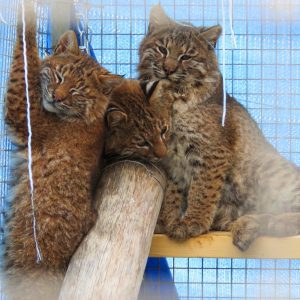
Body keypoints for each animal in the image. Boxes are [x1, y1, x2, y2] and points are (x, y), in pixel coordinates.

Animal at [2, 3, 122, 298]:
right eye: (59, 76)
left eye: (77, 91)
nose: (56, 97)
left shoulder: (25, 111)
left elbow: (26, 59)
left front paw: (27, 13)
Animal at [139, 4, 300, 251]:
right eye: (162, 49)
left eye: (186, 56)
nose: (168, 69)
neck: (171, 96)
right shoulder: (170, 157)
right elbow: (173, 192)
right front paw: (167, 221)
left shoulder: (212, 151)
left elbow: (203, 189)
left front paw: (193, 222)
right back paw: (246, 224)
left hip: (265, 166)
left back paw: (262, 223)